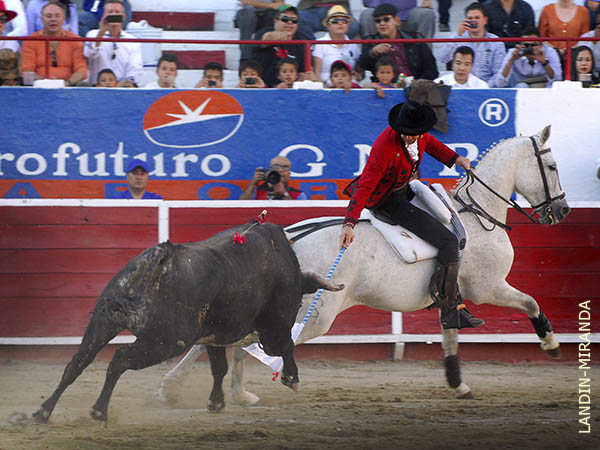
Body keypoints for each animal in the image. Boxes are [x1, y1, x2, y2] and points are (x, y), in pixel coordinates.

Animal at [32, 221, 342, 422]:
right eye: (299, 300)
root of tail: (161, 256)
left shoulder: (215, 335)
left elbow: (219, 367)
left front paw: (216, 403)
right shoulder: (273, 328)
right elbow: (286, 346)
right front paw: (292, 379)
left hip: (103, 321)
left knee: (76, 364)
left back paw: (43, 411)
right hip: (166, 341)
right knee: (119, 359)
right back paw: (98, 410)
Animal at [157, 125, 568, 404]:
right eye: (550, 165)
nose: (562, 210)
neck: (479, 212)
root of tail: (285, 242)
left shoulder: (451, 297)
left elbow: (450, 333)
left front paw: (457, 382)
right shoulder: (489, 287)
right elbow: (531, 301)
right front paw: (550, 343)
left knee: (226, 339)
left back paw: (185, 389)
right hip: (315, 316)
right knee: (247, 344)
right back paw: (231, 390)